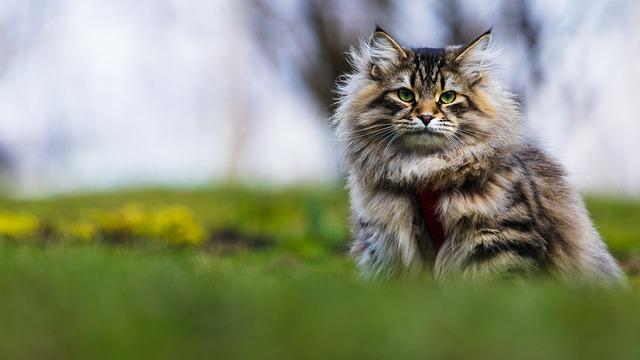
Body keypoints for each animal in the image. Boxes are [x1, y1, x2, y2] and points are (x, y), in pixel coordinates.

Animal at [332, 28, 628, 286]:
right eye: (405, 95)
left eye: (448, 97)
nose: (426, 117)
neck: (425, 171)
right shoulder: (385, 248)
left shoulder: (503, 242)